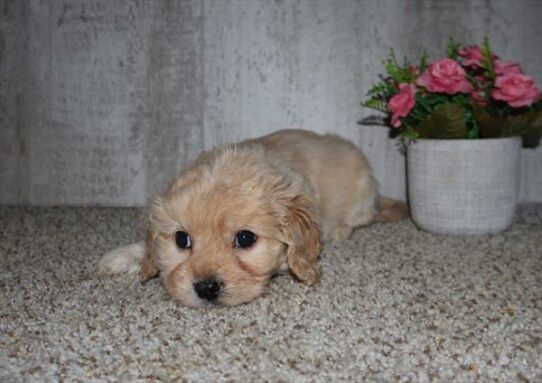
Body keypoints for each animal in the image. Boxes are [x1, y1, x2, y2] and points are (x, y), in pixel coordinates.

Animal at [99, 130, 408, 308]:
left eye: (245, 238)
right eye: (181, 239)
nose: (206, 288)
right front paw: (125, 256)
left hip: (362, 192)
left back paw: (339, 229)